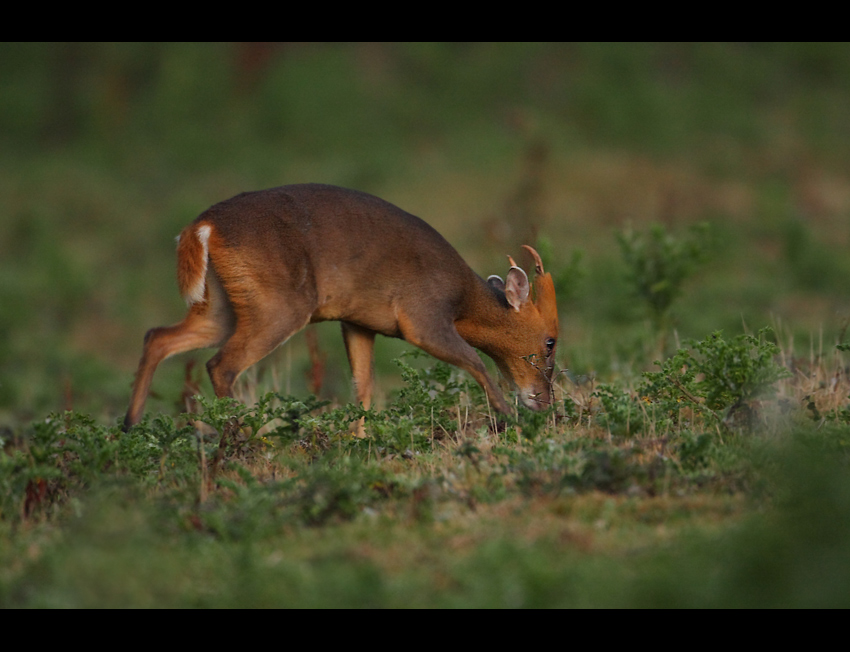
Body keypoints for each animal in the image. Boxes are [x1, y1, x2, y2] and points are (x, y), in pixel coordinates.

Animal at [119, 185, 556, 432]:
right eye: (550, 341)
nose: (545, 401)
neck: (464, 299)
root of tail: (201, 227)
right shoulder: (423, 318)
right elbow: (475, 360)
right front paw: (511, 420)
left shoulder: (357, 323)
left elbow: (362, 387)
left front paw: (360, 442)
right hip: (279, 306)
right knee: (220, 364)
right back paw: (239, 439)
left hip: (222, 306)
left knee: (157, 336)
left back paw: (130, 426)